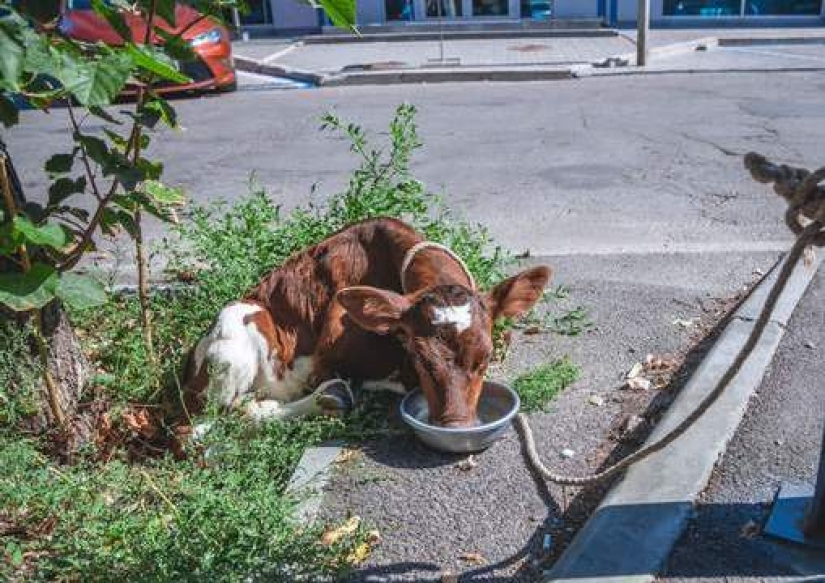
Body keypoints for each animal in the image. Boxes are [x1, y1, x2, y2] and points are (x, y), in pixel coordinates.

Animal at [183, 217, 551, 428]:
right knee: (208, 428)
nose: (456, 424)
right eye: (421, 357)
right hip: (229, 337)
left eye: (484, 358)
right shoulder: (327, 353)